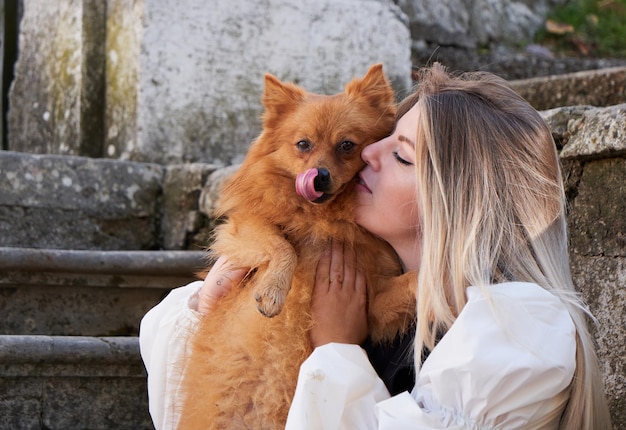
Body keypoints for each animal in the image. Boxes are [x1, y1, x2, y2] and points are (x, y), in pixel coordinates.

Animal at [177, 64, 414, 430]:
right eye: (303, 144)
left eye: (347, 145)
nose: (319, 176)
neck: (321, 220)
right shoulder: (244, 227)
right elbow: (282, 246)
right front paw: (273, 291)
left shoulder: (375, 303)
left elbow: (415, 281)